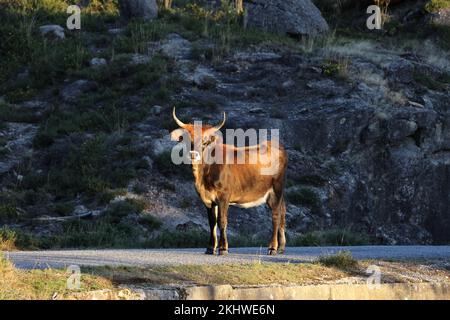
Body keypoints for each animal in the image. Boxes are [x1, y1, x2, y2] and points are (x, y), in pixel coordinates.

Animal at [169, 109, 288, 256]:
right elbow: (212, 222)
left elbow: (222, 221)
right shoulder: (208, 200)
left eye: (204, 142)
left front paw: (223, 248)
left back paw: (272, 247)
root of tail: (275, 145)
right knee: (282, 212)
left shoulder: (224, 196)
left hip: (276, 189)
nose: (193, 154)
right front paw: (210, 248)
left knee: (276, 215)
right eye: (187, 140)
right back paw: (281, 246)